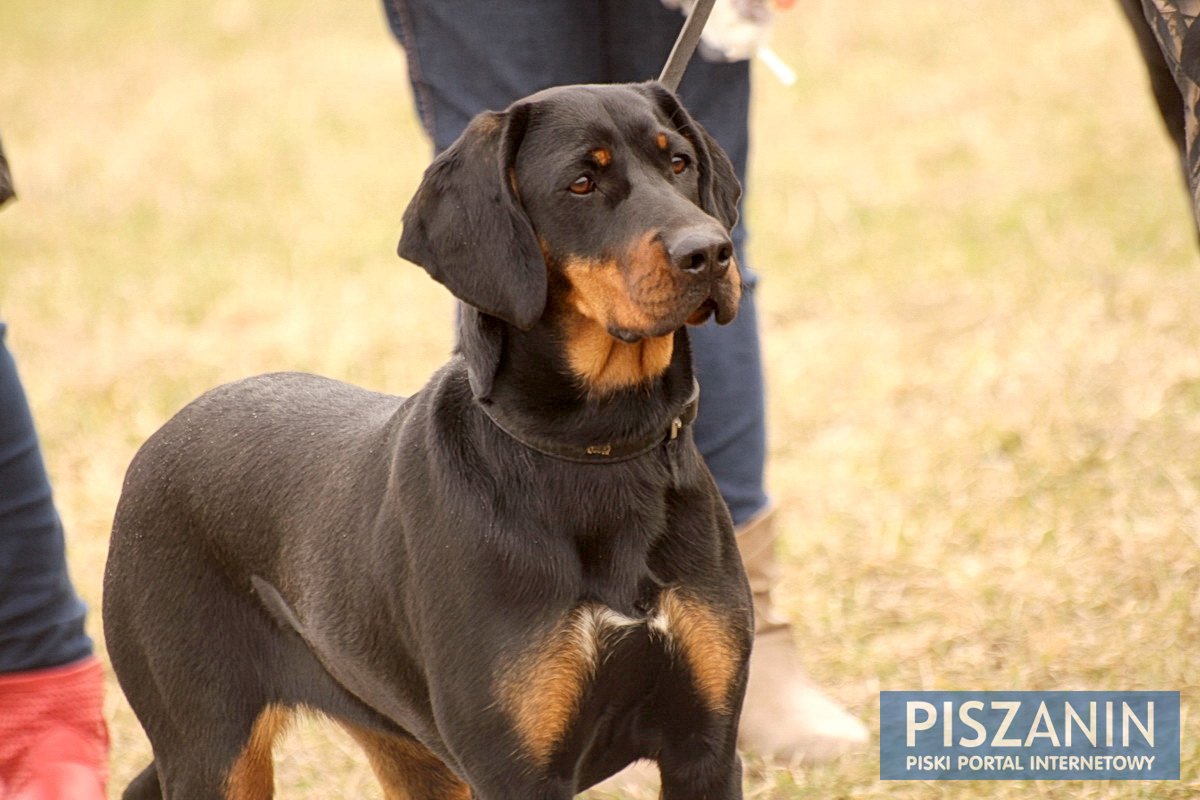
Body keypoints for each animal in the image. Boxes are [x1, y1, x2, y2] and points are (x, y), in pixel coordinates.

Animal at [108, 82, 753, 800]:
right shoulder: (515, 772)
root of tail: (156, 443)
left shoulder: (705, 750)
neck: (594, 449)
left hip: (408, 749)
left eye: (679, 163)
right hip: (213, 748)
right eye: (581, 183)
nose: (710, 252)